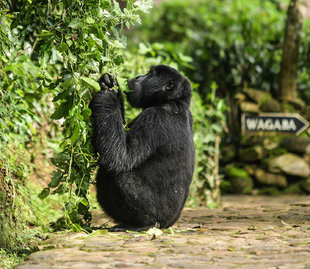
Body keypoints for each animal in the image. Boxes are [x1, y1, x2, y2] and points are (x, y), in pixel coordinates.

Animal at [89, 65, 195, 230]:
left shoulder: (153, 119)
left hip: (159, 215)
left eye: (150, 75)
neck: (173, 102)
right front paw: (110, 83)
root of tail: (169, 224)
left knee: (120, 177)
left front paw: (107, 96)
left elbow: (120, 157)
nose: (139, 76)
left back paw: (144, 224)